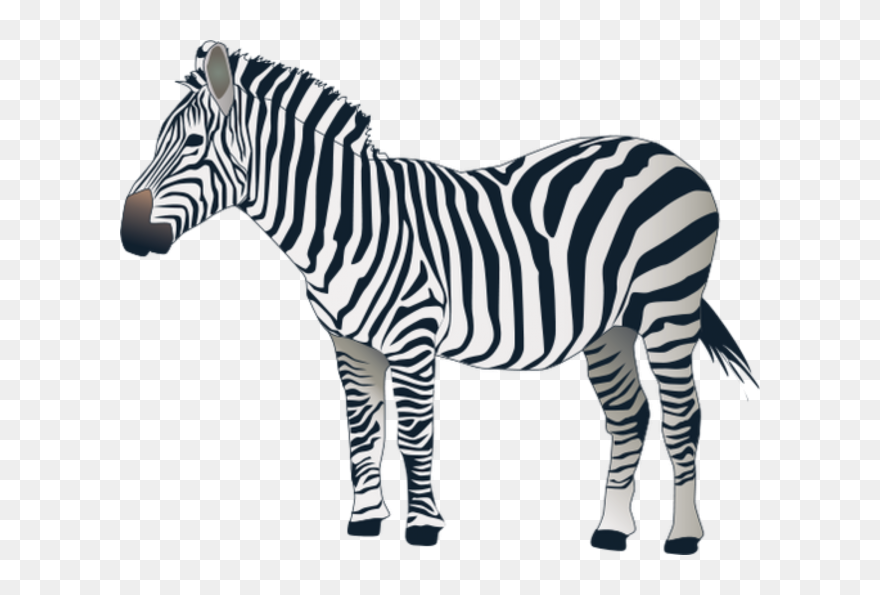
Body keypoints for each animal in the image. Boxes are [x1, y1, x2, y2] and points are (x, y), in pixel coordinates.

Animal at [121, 41, 758, 554]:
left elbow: (413, 434)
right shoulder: (351, 345)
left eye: (194, 143)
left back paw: (683, 536)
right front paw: (365, 520)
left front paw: (422, 526)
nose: (130, 234)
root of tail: (668, 155)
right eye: (157, 142)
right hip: (611, 327)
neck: (346, 223)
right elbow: (363, 432)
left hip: (670, 308)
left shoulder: (413, 337)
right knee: (629, 415)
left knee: (681, 416)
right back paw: (611, 531)